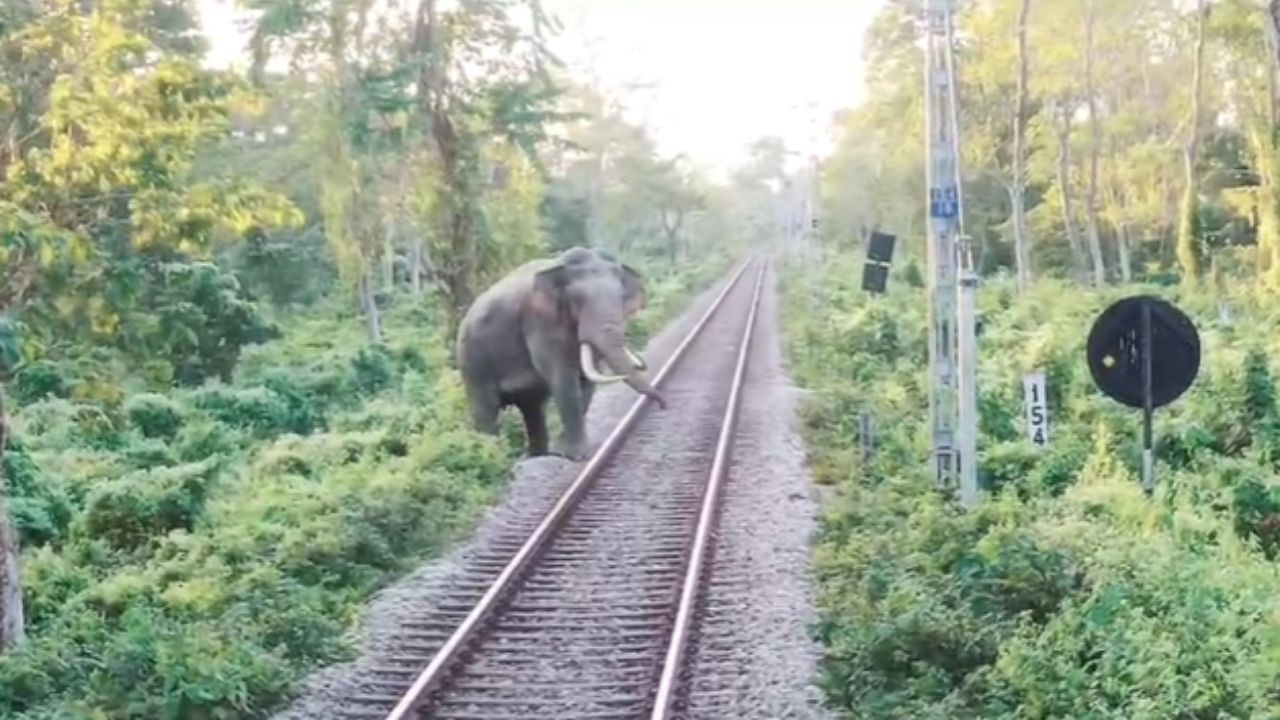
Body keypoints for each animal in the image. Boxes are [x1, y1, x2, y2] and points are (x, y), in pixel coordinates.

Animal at [453, 245, 670, 458]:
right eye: (577, 299)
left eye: (622, 298)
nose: (664, 406)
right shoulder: (540, 321)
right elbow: (564, 380)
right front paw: (576, 455)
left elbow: (587, 381)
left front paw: (564, 451)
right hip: (471, 363)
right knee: (487, 409)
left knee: (532, 407)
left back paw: (538, 456)